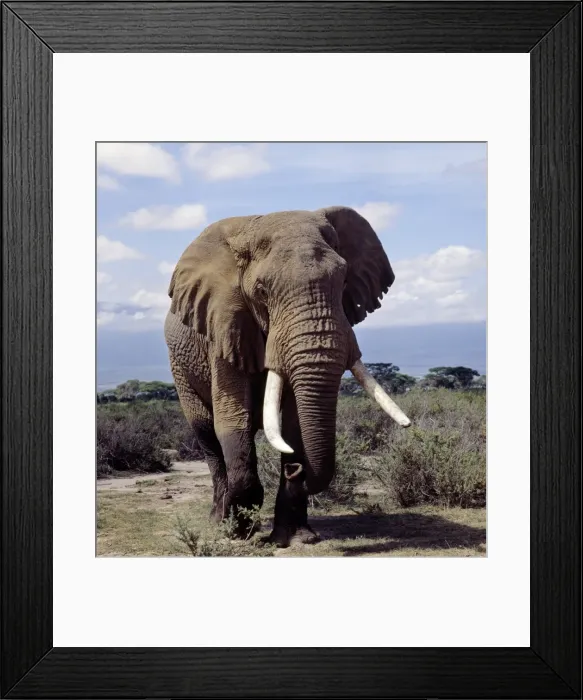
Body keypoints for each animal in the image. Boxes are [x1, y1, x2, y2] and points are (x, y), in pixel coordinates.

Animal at [164, 206, 411, 548]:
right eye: (262, 292)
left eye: (344, 282)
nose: (296, 467)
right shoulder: (225, 324)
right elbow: (232, 419)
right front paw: (239, 534)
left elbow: (294, 424)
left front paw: (296, 539)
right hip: (179, 366)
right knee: (206, 434)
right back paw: (218, 522)